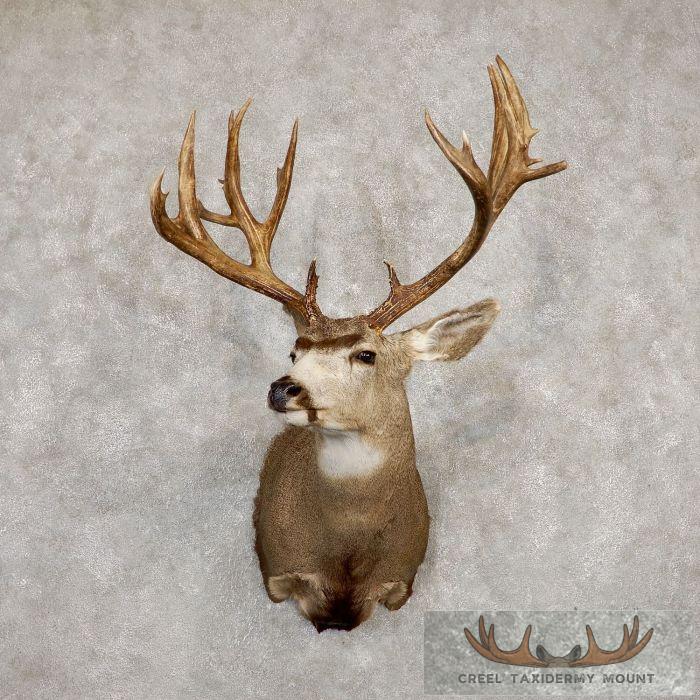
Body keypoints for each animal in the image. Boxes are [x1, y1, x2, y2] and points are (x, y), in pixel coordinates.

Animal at [149, 57, 567, 632]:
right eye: (295, 350)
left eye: (365, 354)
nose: (284, 388)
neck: (347, 554)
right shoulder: (279, 572)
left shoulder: (401, 578)